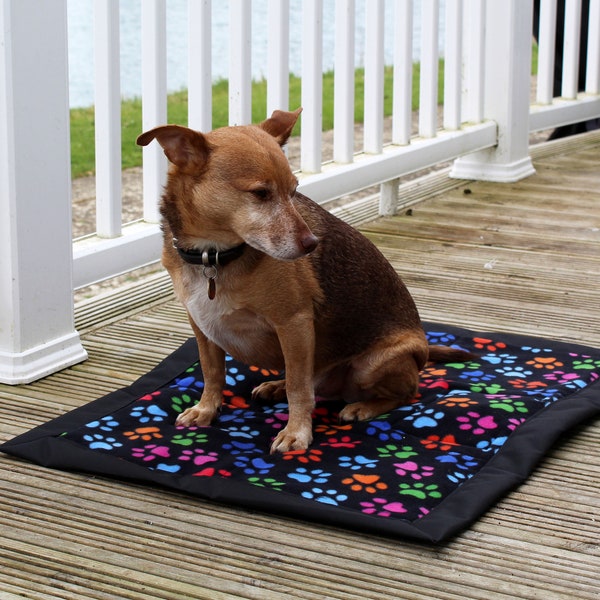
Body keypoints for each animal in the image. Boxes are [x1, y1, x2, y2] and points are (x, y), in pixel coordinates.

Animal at [137, 109, 474, 454]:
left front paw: (297, 432)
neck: (213, 256)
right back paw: (276, 385)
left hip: (371, 365)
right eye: (260, 194)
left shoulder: (294, 323)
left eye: (294, 191)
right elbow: (213, 372)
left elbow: (299, 389)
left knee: (406, 392)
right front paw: (206, 409)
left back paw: (361, 407)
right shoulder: (202, 327)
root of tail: (423, 351)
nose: (312, 244)